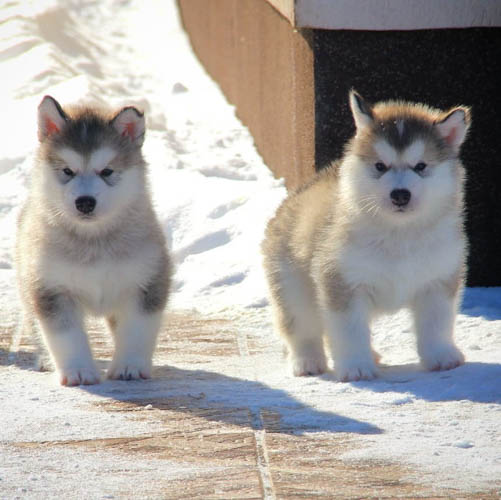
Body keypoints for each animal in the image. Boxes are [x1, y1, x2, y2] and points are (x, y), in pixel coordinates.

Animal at [16, 96, 172, 386]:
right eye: (68, 171)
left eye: (107, 171)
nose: (85, 202)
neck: (94, 241)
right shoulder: (51, 288)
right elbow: (66, 337)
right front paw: (78, 371)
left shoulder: (146, 281)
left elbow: (137, 330)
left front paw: (130, 366)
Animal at [262, 90, 468, 380]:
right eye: (380, 166)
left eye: (420, 166)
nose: (400, 194)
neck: (399, 233)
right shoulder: (342, 282)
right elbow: (350, 332)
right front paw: (356, 367)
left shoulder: (438, 280)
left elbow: (436, 323)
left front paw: (441, 357)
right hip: (292, 288)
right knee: (303, 329)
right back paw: (307, 362)